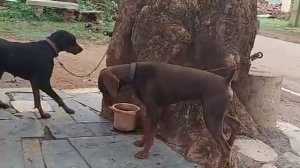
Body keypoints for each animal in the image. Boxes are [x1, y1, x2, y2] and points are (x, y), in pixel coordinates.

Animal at [99, 61, 240, 160]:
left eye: (103, 89)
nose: (107, 107)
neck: (134, 74)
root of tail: (226, 80)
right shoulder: (150, 111)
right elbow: (146, 130)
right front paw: (141, 143)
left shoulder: (155, 110)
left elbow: (151, 135)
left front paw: (144, 153)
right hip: (217, 113)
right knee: (235, 123)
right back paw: (231, 141)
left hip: (211, 116)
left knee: (225, 149)